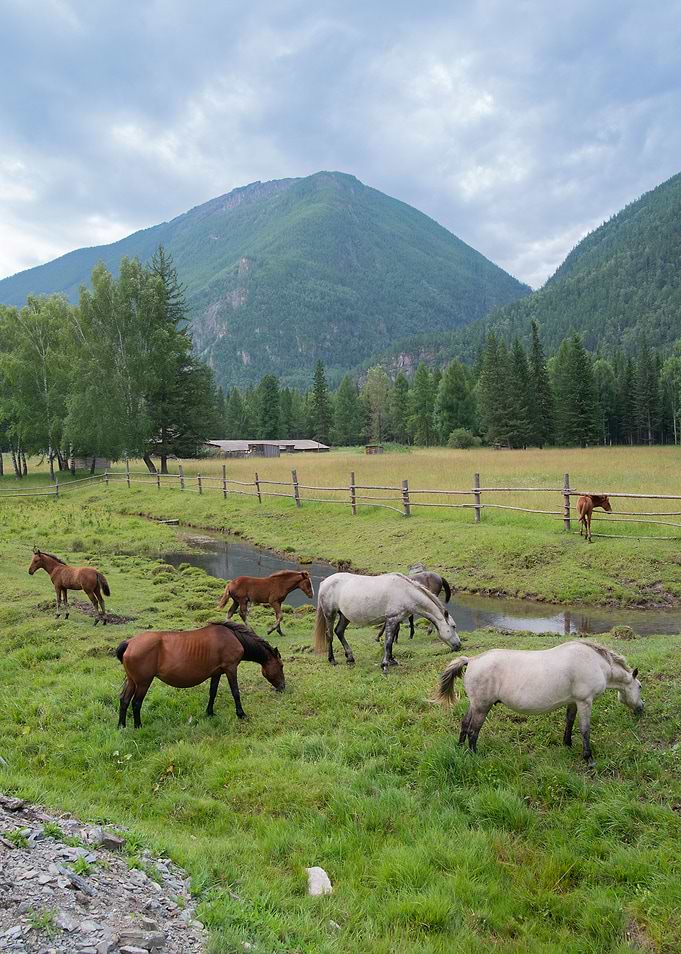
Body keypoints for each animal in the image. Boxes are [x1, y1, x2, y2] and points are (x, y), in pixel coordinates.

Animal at [116, 621, 285, 727]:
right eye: (281, 666)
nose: (283, 687)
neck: (233, 637)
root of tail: (130, 643)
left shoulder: (217, 672)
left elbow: (213, 692)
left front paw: (209, 712)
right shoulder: (230, 668)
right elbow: (235, 692)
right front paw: (241, 714)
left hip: (132, 681)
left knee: (124, 700)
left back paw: (121, 726)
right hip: (143, 682)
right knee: (136, 703)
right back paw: (138, 726)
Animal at [314, 572, 461, 672]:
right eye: (453, 626)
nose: (459, 645)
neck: (405, 591)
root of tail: (325, 582)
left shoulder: (395, 620)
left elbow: (391, 641)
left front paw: (392, 660)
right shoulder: (392, 619)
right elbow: (388, 642)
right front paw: (385, 665)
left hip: (344, 616)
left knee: (339, 631)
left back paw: (350, 658)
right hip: (330, 614)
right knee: (330, 635)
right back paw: (332, 660)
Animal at [435, 641, 642, 767]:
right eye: (640, 686)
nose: (641, 709)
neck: (596, 663)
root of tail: (472, 660)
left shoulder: (574, 702)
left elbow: (569, 721)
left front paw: (567, 744)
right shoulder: (585, 701)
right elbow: (585, 730)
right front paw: (589, 758)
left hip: (475, 705)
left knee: (464, 725)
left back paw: (460, 750)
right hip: (481, 707)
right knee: (473, 730)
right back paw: (474, 755)